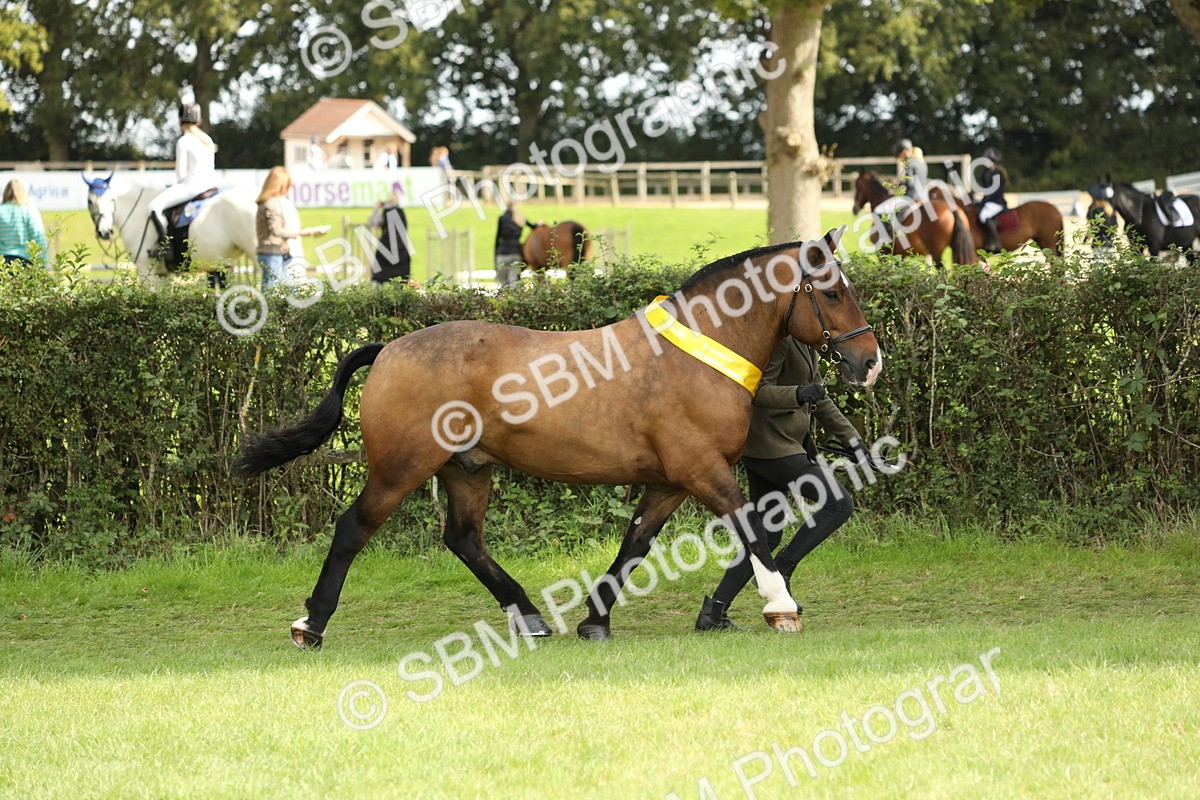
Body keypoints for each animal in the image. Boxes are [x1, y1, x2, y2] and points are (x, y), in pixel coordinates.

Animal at [235, 226, 882, 649]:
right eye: (830, 292)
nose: (869, 362)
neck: (696, 354)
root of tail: (389, 348)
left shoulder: (669, 483)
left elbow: (633, 545)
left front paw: (596, 619)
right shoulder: (703, 471)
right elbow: (750, 532)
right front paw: (781, 607)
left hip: (467, 469)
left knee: (464, 540)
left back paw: (529, 617)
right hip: (401, 468)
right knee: (353, 530)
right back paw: (311, 625)